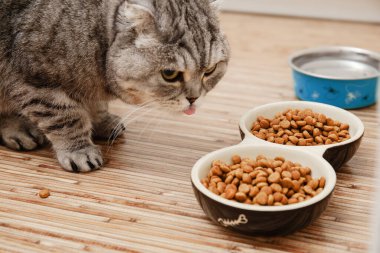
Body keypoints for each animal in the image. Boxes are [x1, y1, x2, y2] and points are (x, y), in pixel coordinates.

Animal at [0, 0, 229, 172]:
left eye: (210, 70)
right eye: (170, 74)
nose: (194, 98)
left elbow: (97, 106)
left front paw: (101, 121)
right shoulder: (37, 84)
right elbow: (66, 118)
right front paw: (79, 149)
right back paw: (18, 129)